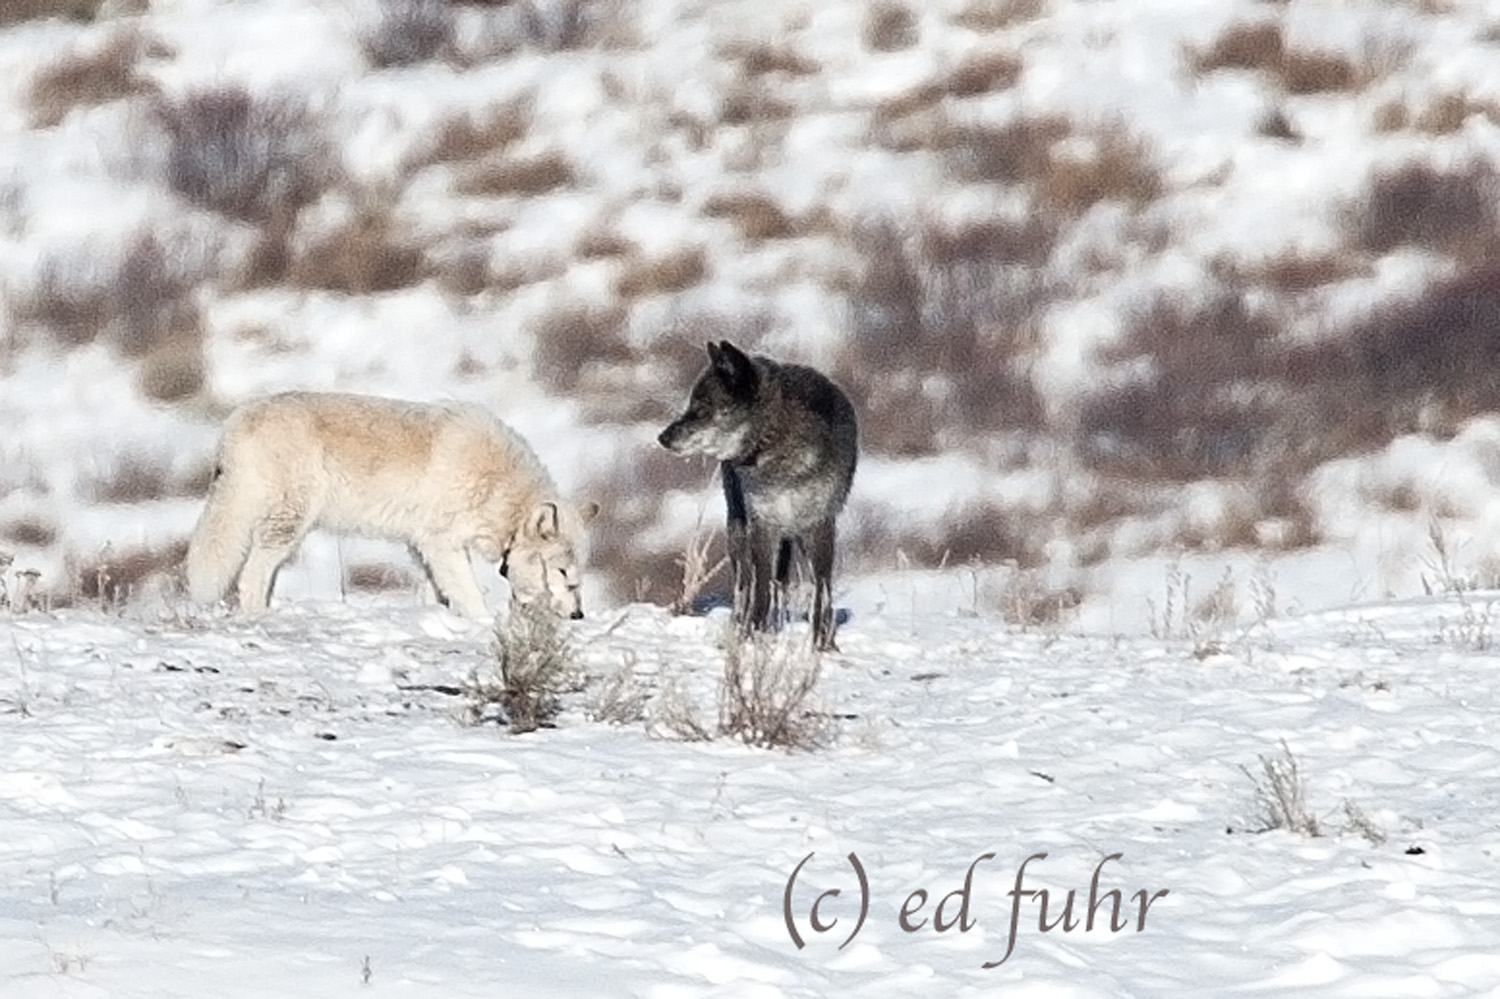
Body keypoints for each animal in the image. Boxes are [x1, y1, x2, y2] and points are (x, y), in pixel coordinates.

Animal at [180, 393, 591, 618]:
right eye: (563, 573)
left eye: (576, 576)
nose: (578, 615)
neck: (498, 488)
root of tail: (234, 422)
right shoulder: (441, 544)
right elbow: (470, 594)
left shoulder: (421, 546)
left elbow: (438, 594)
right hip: (287, 526)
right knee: (250, 579)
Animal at [657, 339, 858, 651]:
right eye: (691, 405)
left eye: (701, 409)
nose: (663, 438)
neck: (774, 437)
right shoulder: (763, 523)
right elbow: (761, 586)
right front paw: (756, 636)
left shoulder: (821, 524)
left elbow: (822, 589)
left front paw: (823, 645)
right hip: (738, 528)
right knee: (745, 582)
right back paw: (742, 625)